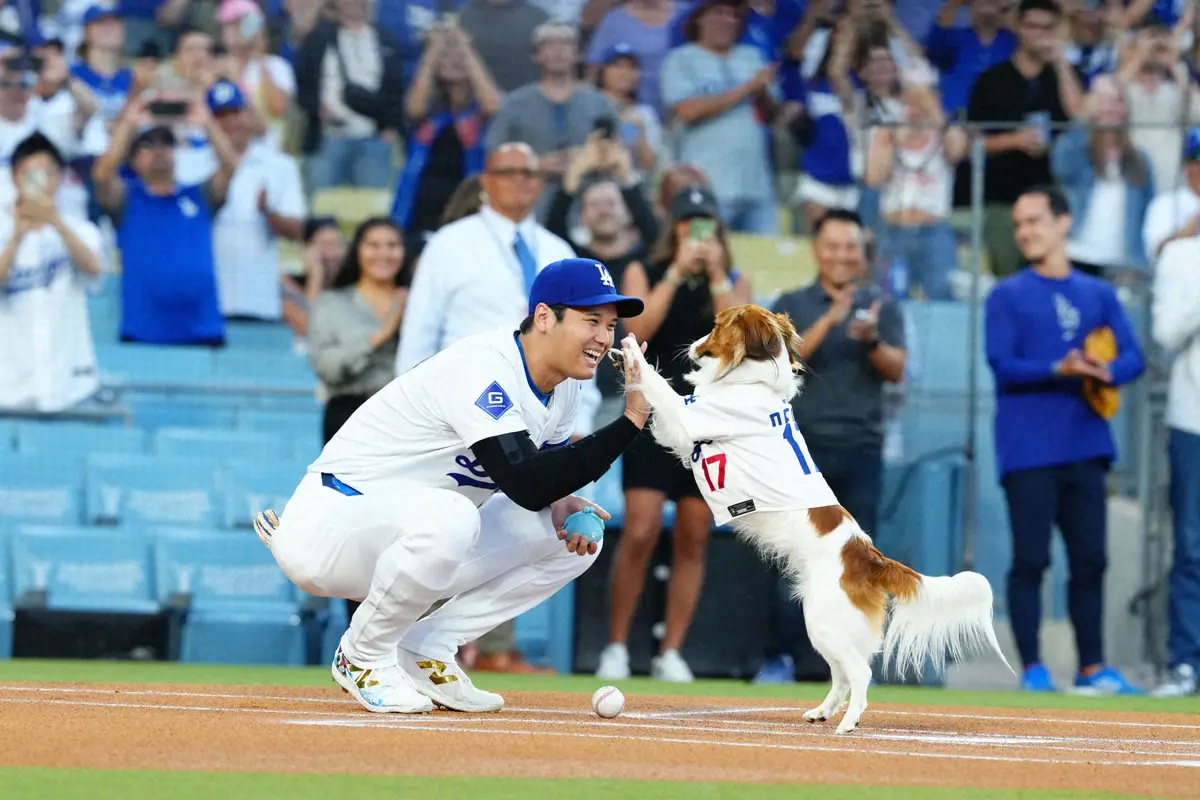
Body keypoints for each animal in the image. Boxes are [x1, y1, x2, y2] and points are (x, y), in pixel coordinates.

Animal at [619, 303, 1012, 734]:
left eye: (717, 326)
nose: (692, 344)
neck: (753, 381)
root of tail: (869, 556)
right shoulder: (680, 433)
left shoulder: (689, 417)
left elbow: (659, 386)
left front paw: (630, 352)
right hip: (821, 624)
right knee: (841, 675)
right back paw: (823, 712)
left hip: (825, 621)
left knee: (860, 673)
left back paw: (848, 723)